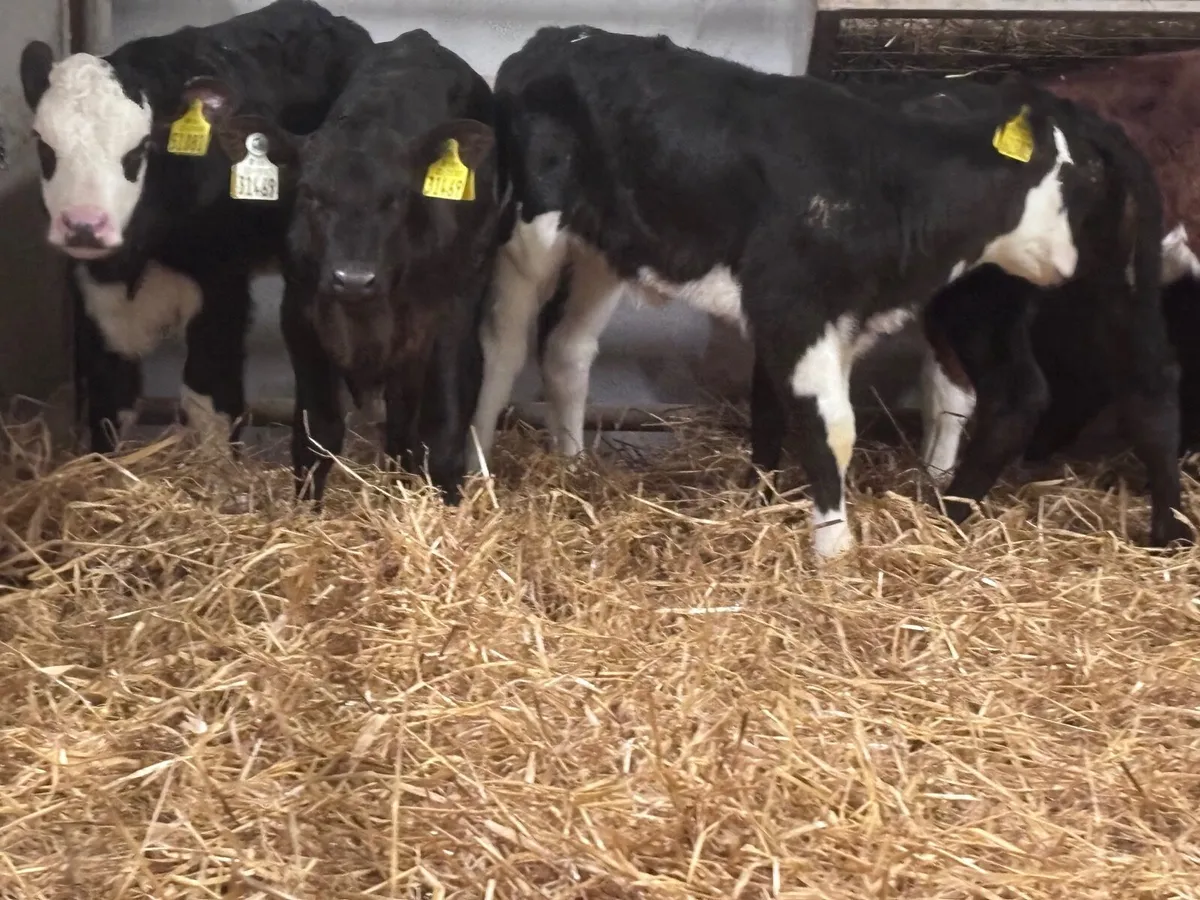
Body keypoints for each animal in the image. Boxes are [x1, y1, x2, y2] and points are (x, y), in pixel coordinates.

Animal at [18, 0, 373, 454]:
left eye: (138, 150)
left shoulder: (222, 289)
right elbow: (111, 402)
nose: (84, 225)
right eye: (44, 146)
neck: (140, 254)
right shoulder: (96, 298)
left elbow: (210, 403)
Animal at [208, 29, 504, 505]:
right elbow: (316, 434)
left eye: (397, 196)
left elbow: (441, 433)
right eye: (310, 194)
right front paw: (306, 510)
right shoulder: (300, 315)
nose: (353, 279)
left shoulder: (448, 319)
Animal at [467, 24, 1087, 561]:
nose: (1068, 266)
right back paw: (478, 464)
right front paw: (834, 552)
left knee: (567, 349)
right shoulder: (795, 309)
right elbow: (832, 427)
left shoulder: (831, 319)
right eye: (1064, 182)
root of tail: (557, 37)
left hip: (603, 250)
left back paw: (572, 467)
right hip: (527, 235)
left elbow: (791, 414)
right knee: (502, 349)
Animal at [907, 58, 1198, 547]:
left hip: (984, 295)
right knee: (1153, 386)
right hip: (1119, 280)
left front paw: (932, 474)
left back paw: (951, 512)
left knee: (1017, 394)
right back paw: (1167, 532)